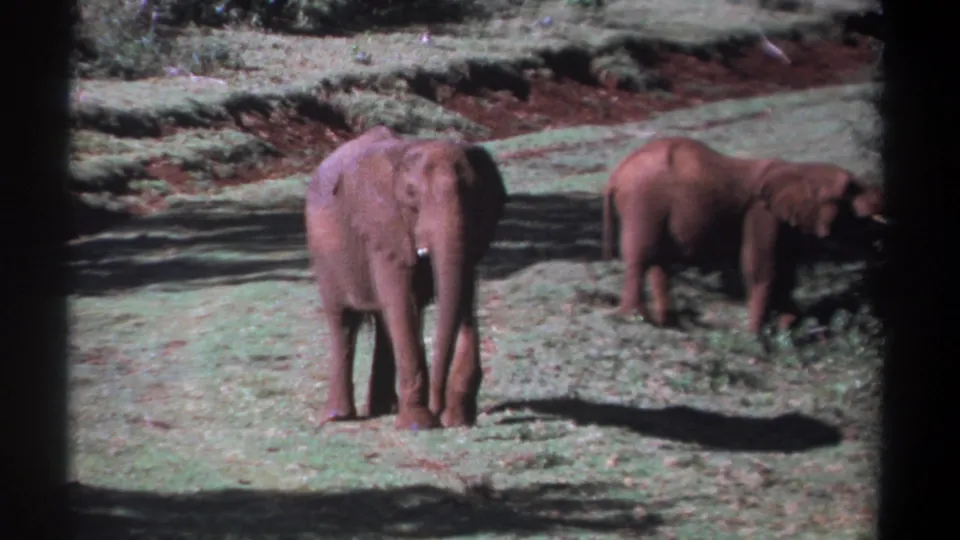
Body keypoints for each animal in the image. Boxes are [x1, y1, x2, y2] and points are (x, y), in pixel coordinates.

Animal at [305, 126, 508, 430]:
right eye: (411, 194)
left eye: (474, 192)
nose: (439, 409)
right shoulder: (384, 228)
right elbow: (403, 302)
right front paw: (419, 424)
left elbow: (463, 297)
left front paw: (457, 419)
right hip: (325, 255)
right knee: (343, 321)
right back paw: (338, 417)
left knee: (383, 323)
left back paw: (383, 409)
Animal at [601, 136, 886, 336]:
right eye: (849, 190)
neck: (798, 170)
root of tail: (616, 174)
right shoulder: (762, 213)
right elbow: (761, 267)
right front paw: (756, 336)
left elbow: (786, 269)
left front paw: (788, 326)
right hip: (644, 201)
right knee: (642, 257)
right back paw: (635, 318)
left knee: (659, 262)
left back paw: (670, 325)